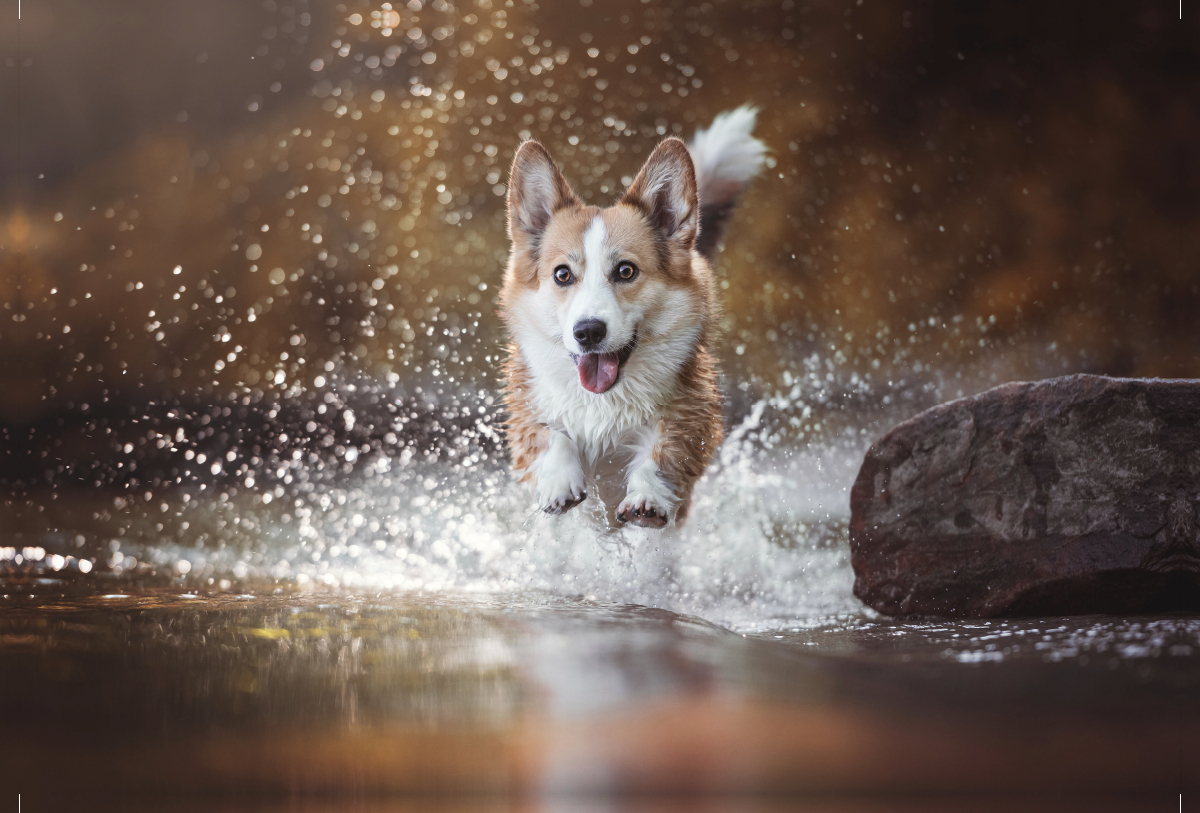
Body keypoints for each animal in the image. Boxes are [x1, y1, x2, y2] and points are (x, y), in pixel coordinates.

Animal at [499, 106, 763, 527]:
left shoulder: (690, 417)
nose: (588, 332)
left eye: (626, 271)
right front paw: (559, 483)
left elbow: (661, 453)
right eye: (562, 274)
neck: (604, 402)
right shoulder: (526, 404)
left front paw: (647, 499)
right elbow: (550, 435)